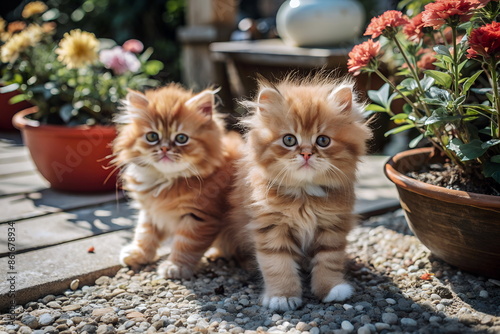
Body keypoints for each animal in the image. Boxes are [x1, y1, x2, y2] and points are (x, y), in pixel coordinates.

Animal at [112, 83, 241, 280]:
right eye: (152, 137)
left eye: (181, 138)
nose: (164, 148)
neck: (166, 181)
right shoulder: (150, 211)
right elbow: (144, 234)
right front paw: (137, 254)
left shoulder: (200, 216)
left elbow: (186, 244)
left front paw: (176, 266)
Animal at [219, 75, 372, 310]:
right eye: (289, 140)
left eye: (323, 140)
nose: (307, 153)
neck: (304, 195)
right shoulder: (270, 226)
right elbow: (277, 264)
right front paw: (282, 296)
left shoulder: (333, 225)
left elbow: (329, 259)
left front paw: (331, 288)